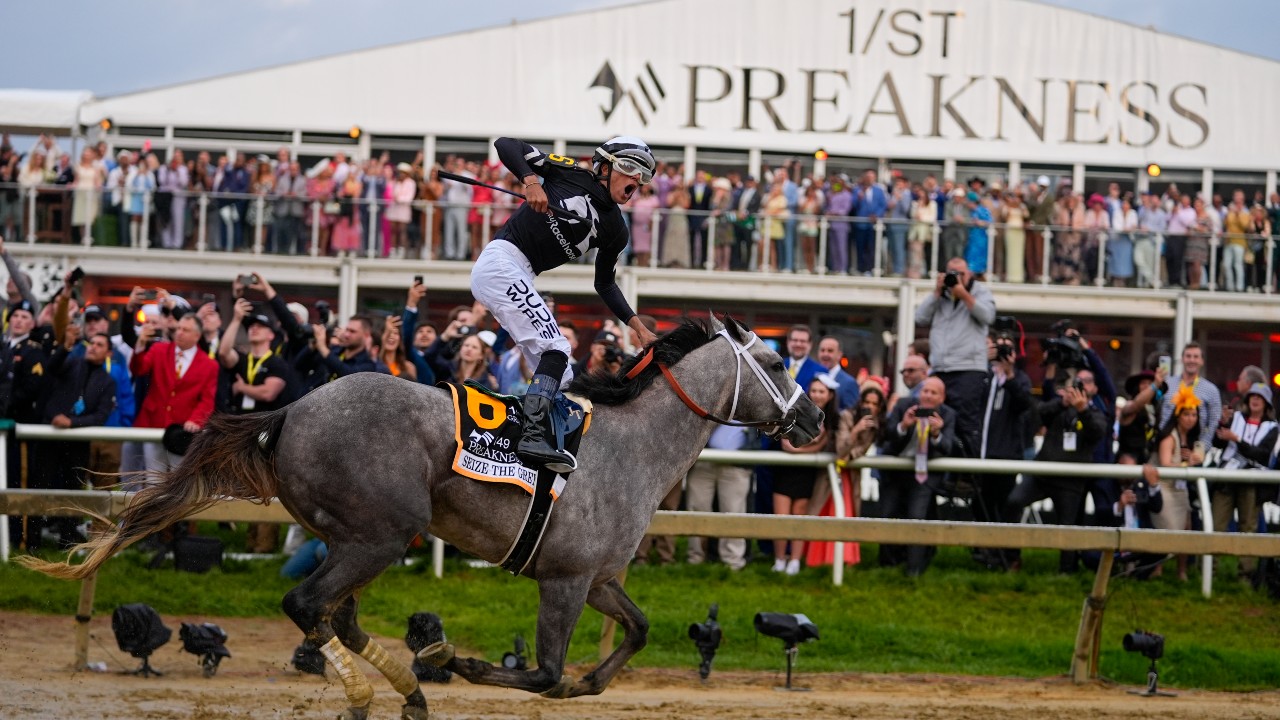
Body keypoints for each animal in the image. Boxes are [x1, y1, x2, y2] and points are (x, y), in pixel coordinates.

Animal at [22, 315, 819, 717]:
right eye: (779, 364)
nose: (813, 420)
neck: (633, 446)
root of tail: (290, 411)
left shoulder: (598, 579)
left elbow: (636, 632)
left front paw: (584, 683)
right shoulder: (562, 580)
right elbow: (543, 672)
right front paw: (459, 660)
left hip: (353, 535)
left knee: (334, 614)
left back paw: (403, 688)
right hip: (376, 534)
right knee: (308, 604)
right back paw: (371, 689)